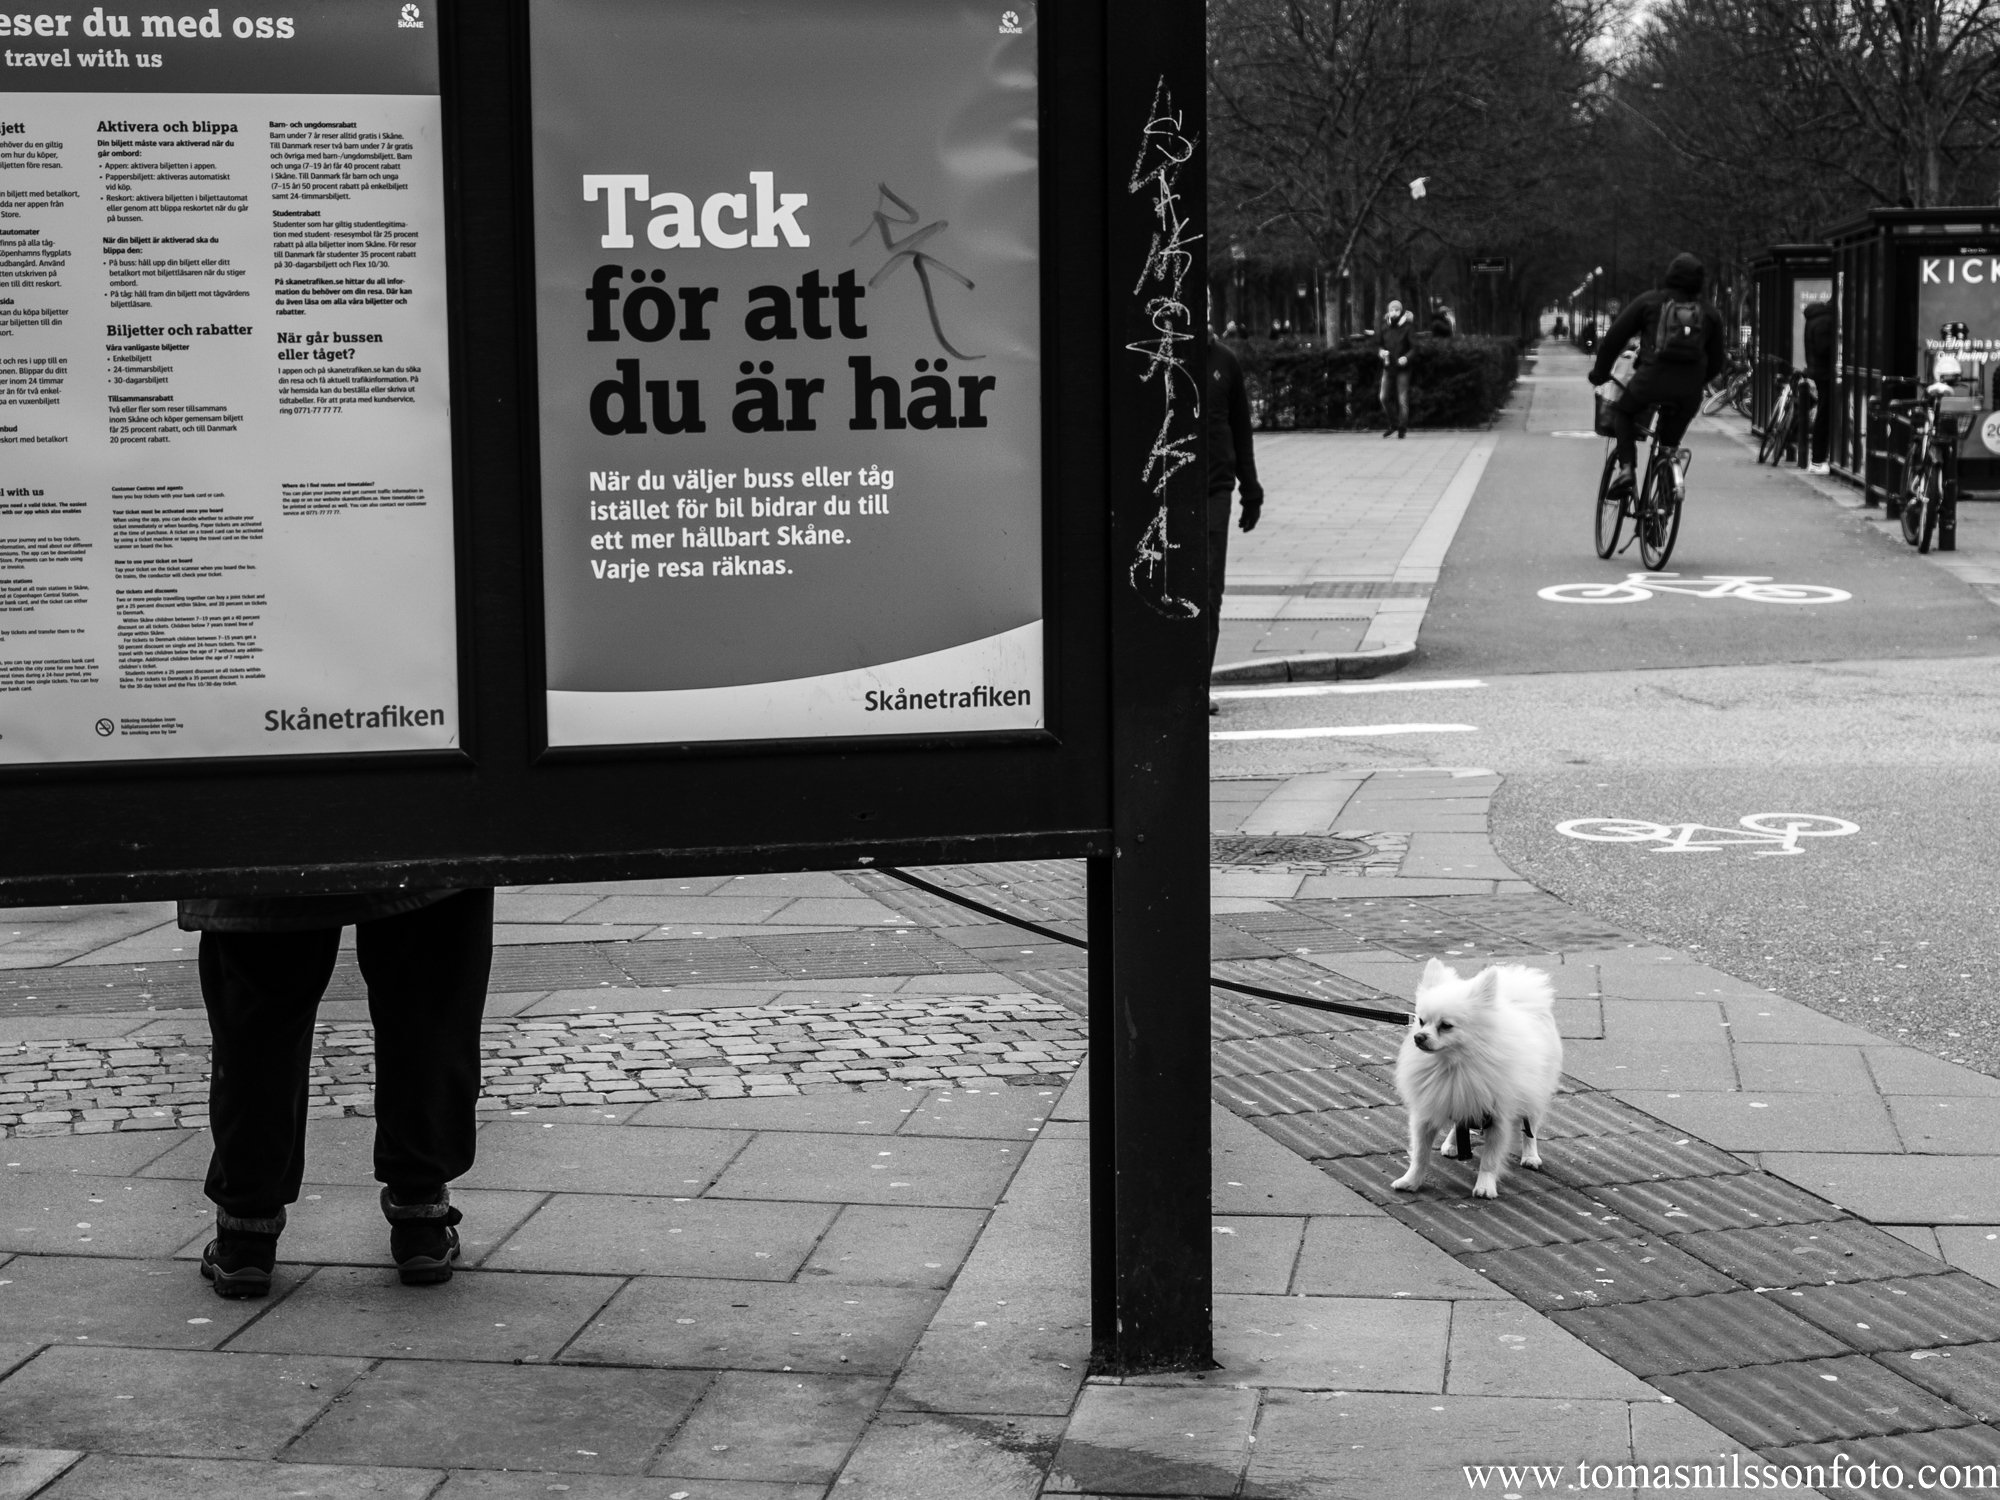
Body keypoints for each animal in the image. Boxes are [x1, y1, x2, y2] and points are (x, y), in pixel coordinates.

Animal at [1392, 968, 1560, 1208]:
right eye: (1421, 1021)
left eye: (1446, 1026)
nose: (1419, 1037)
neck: (1454, 1065)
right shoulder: (1432, 1107)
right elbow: (1420, 1154)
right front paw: (1411, 1181)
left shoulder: (1498, 1119)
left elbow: (1490, 1160)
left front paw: (1485, 1187)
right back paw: (1452, 1144)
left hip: (1534, 1095)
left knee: (1531, 1128)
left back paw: (1530, 1156)